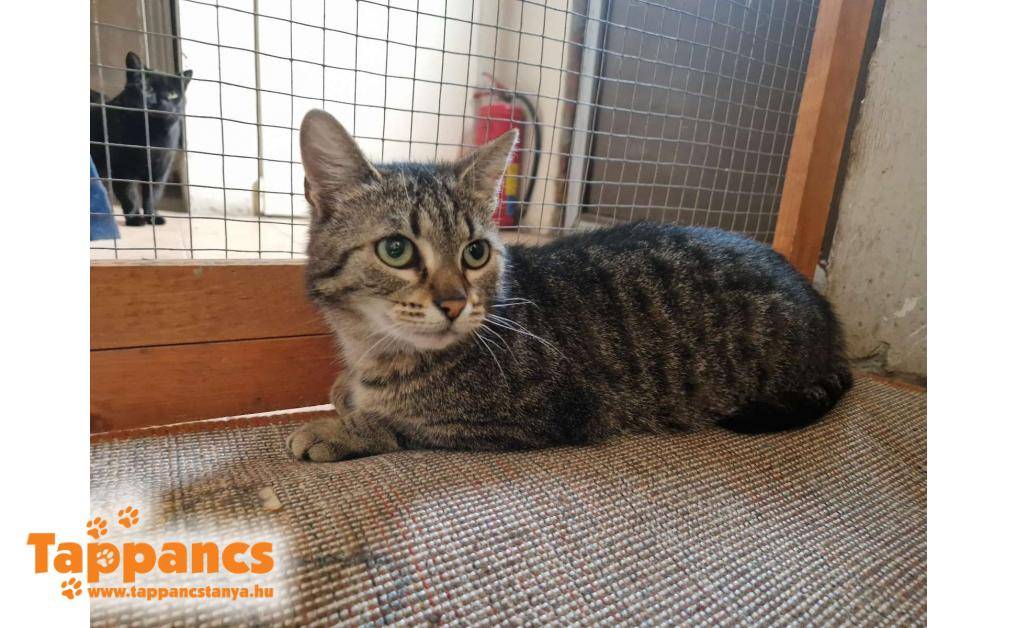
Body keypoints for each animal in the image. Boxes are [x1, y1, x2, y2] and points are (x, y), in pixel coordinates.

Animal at [90, 51, 191, 226]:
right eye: (147, 88)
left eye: (172, 94)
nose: (161, 102)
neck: (152, 135)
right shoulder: (121, 169)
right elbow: (129, 195)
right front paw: (134, 219)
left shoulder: (160, 171)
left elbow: (152, 196)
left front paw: (153, 217)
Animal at [287, 109, 852, 462]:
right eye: (397, 250)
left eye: (475, 253)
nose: (454, 303)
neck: (377, 352)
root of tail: (829, 320)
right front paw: (344, 395)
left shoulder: (543, 414)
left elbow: (411, 425)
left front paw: (343, 428)